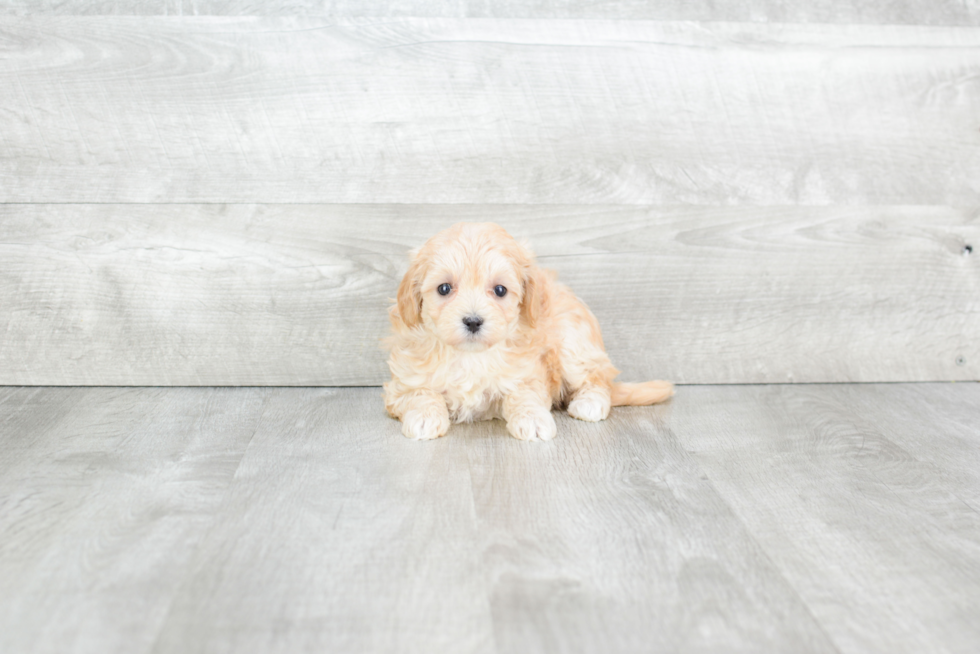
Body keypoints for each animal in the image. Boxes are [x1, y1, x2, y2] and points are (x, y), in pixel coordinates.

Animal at [382, 223, 672, 444]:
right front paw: (425, 417)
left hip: (573, 343)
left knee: (598, 377)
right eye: (444, 288)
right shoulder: (404, 383)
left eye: (500, 290)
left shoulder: (529, 373)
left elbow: (524, 395)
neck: (471, 356)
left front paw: (532, 419)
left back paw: (590, 403)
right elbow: (421, 393)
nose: (473, 321)